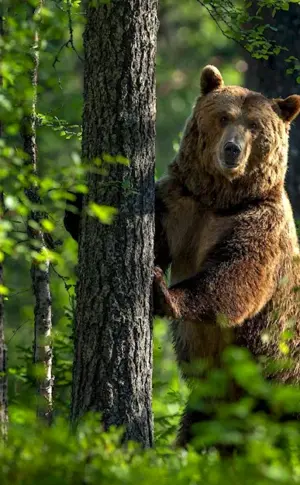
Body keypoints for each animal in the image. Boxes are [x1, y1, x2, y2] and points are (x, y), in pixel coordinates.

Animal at [154, 64, 300, 446]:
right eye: (224, 117)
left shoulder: (260, 222)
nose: (232, 150)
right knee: (200, 433)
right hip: (215, 405)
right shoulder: (182, 202)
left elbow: (237, 276)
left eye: (255, 126)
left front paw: (165, 294)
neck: (221, 199)